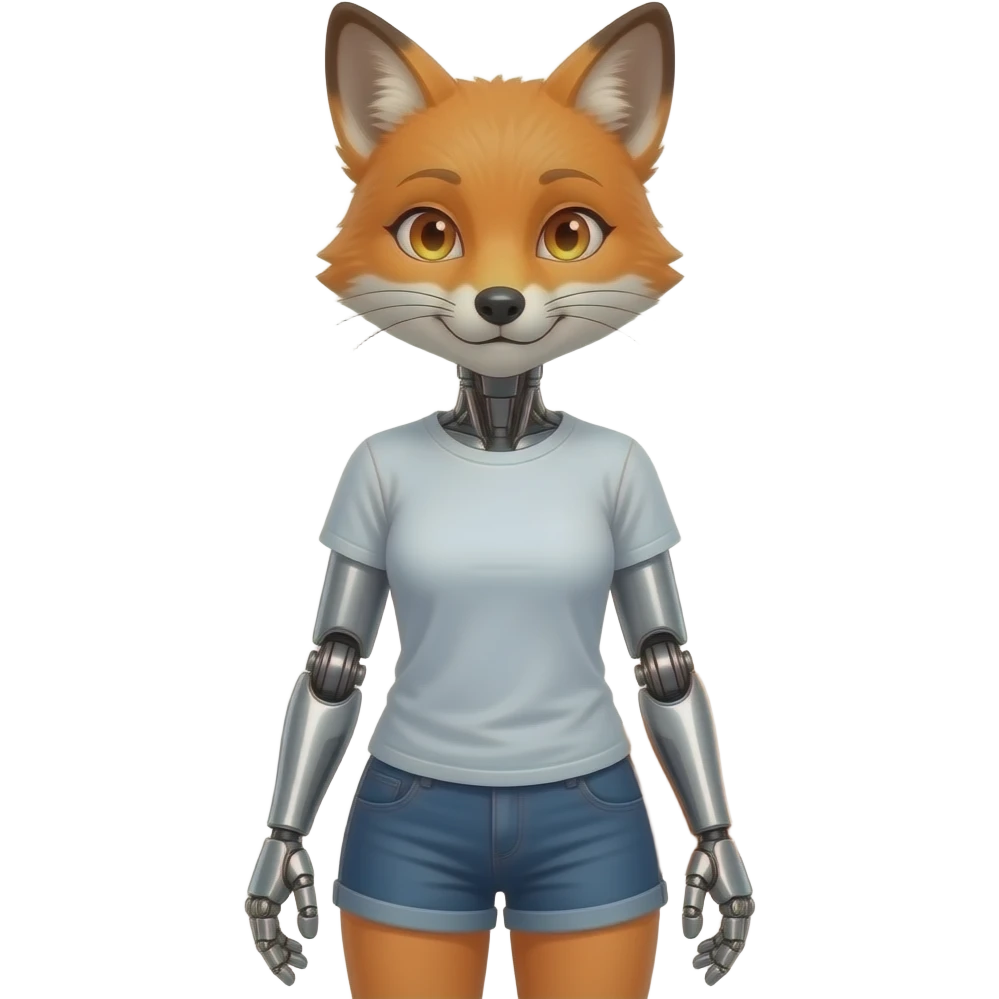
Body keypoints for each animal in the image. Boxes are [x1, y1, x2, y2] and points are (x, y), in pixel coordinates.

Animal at [245, 4, 756, 998]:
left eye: (569, 235)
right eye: (429, 234)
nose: (498, 303)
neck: (499, 432)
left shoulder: (640, 484)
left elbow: (664, 661)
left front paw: (720, 874)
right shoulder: (357, 483)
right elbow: (335, 662)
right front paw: (277, 874)